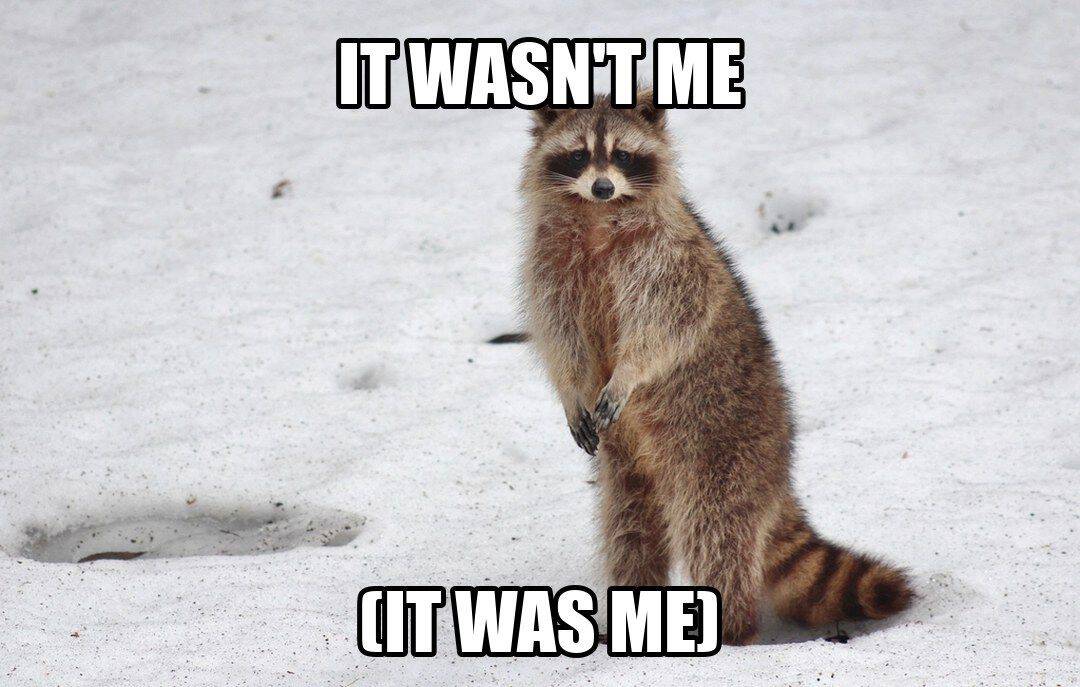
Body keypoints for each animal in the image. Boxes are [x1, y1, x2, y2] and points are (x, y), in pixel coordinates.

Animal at [518, 93, 913, 645]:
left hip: (724, 450)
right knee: (629, 527)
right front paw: (571, 390)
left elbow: (668, 325)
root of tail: (779, 473)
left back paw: (730, 629)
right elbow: (560, 336)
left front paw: (629, 373)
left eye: (622, 156)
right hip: (629, 466)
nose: (602, 186)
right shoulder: (548, 263)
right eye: (579, 156)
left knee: (716, 530)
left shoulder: (670, 258)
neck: (598, 216)